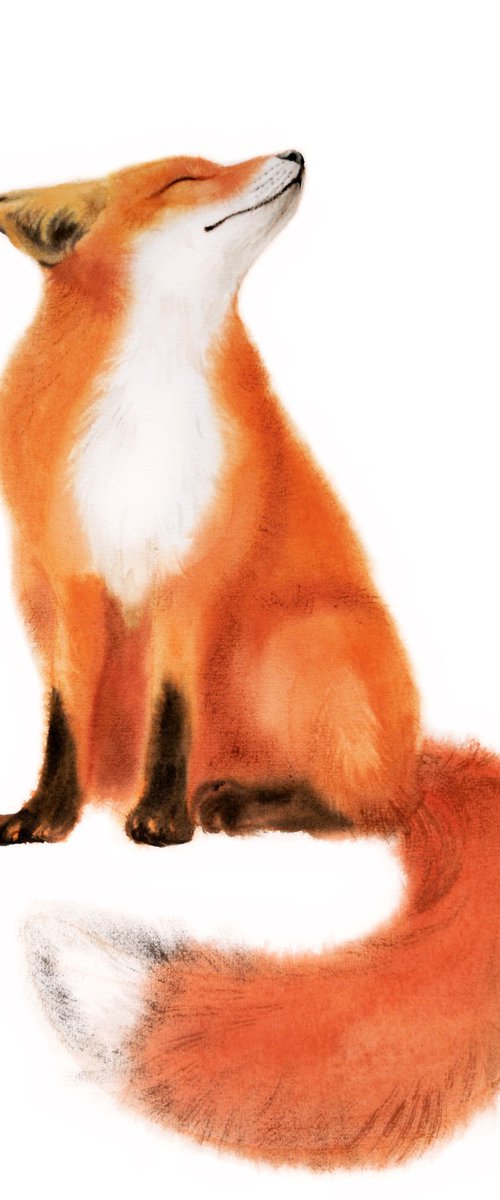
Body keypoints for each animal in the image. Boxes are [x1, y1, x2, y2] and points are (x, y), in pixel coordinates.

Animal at [0, 150, 498, 1170]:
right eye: (185, 179)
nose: (294, 152)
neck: (144, 427)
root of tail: (419, 756)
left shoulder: (192, 584)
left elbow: (173, 714)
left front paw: (160, 821)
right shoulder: (67, 584)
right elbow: (66, 721)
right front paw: (48, 819)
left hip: (295, 643)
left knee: (368, 811)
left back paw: (233, 805)